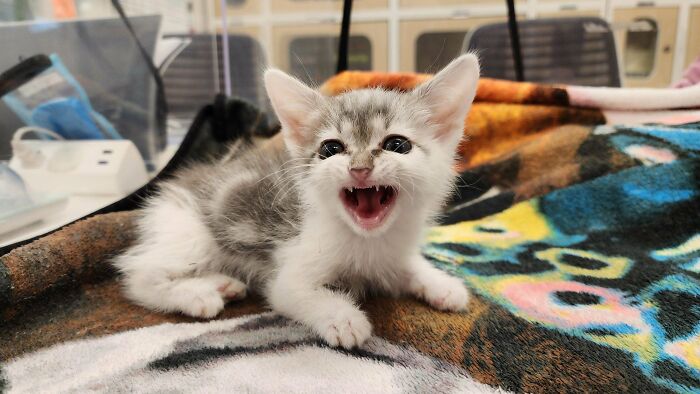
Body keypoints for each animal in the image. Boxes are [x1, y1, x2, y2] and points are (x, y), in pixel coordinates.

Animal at [116, 53, 482, 350]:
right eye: (331, 149)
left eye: (397, 144)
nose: (359, 168)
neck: (367, 241)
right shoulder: (290, 269)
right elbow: (300, 293)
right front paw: (344, 318)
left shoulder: (391, 254)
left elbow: (407, 265)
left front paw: (440, 283)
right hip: (189, 235)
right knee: (139, 274)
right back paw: (196, 294)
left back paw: (221, 283)